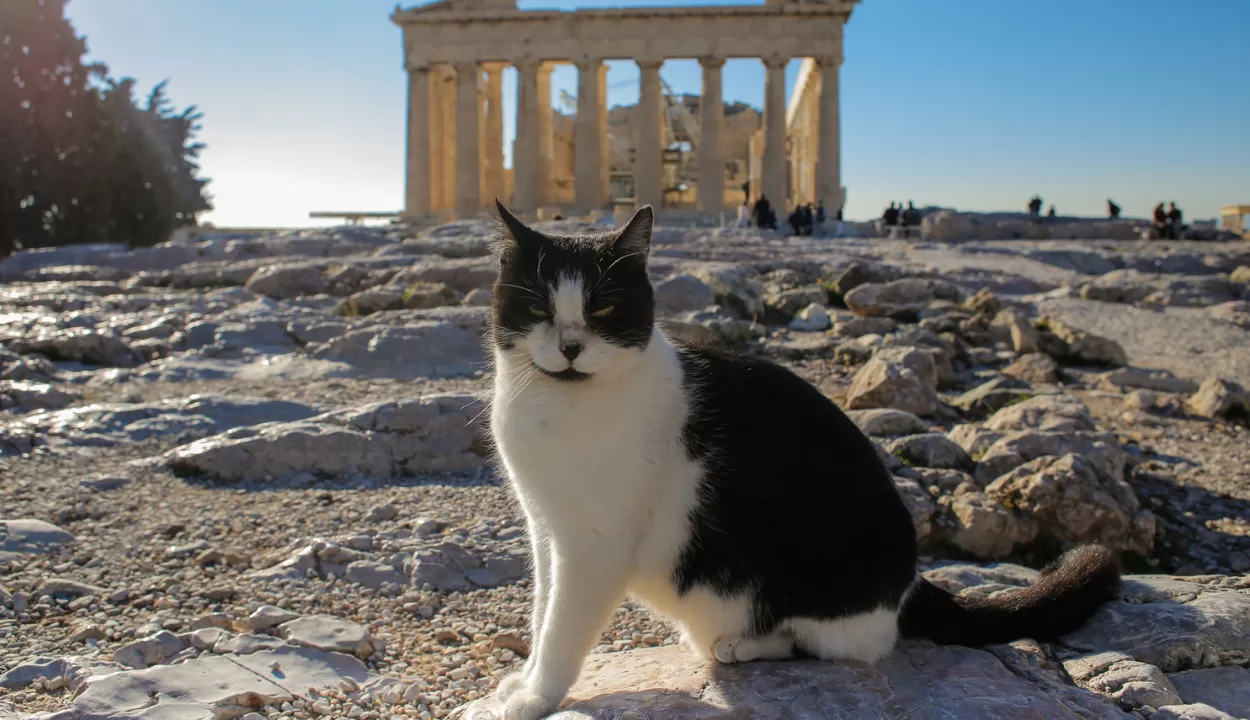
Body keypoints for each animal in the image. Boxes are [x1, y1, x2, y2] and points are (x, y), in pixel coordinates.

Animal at [482, 202, 1120, 720]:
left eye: (605, 308)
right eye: (537, 306)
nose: (570, 346)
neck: (559, 405)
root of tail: (913, 582)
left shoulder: (595, 544)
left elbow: (564, 627)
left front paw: (538, 697)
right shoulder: (545, 531)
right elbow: (542, 612)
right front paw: (524, 680)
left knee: (850, 643)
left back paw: (741, 644)